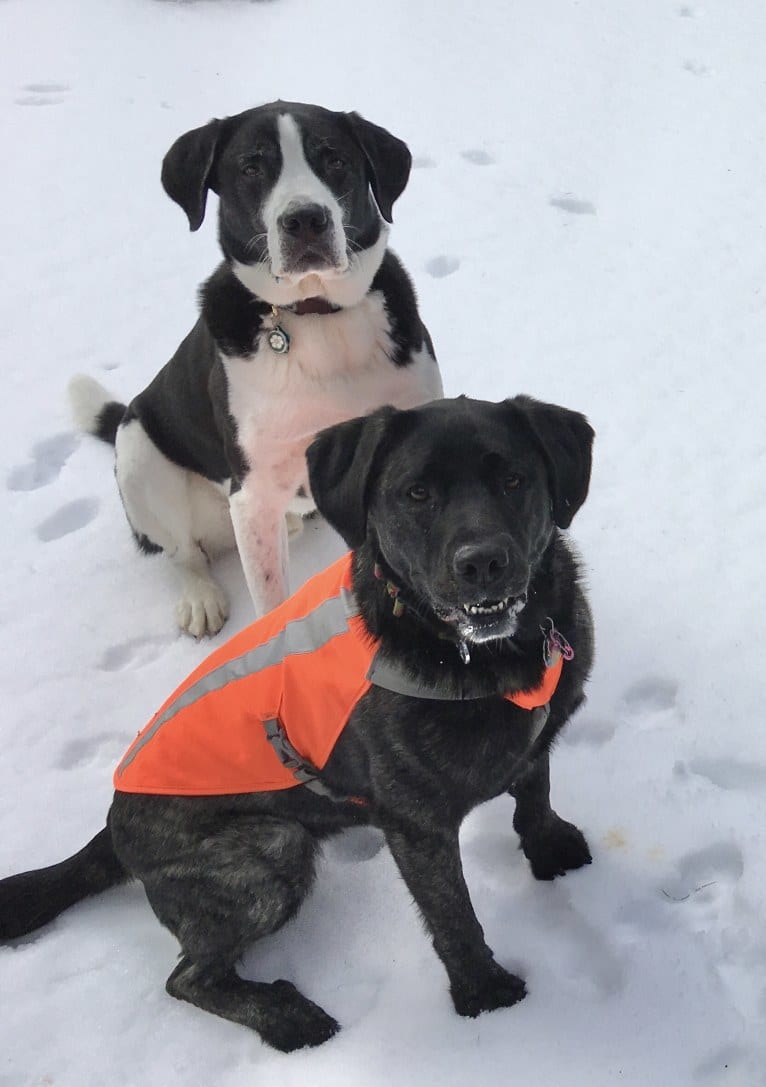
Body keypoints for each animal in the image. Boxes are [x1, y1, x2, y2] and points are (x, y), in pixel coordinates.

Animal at [0, 397, 595, 1052]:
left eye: (514, 479)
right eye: (416, 493)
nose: (483, 562)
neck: (480, 651)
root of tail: (112, 825)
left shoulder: (535, 737)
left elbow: (535, 786)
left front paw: (549, 846)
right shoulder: (417, 826)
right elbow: (453, 915)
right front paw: (485, 997)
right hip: (269, 851)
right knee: (186, 978)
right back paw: (287, 1017)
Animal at [73, 102, 443, 634]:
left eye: (334, 159)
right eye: (251, 168)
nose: (306, 219)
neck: (316, 317)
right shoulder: (252, 492)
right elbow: (272, 606)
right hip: (139, 450)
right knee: (183, 553)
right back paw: (200, 597)